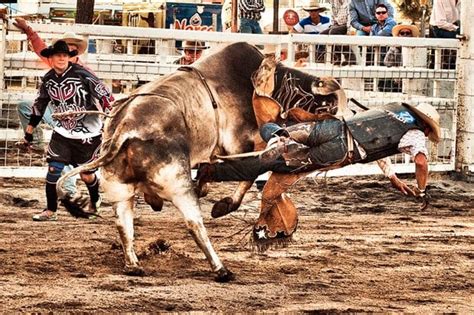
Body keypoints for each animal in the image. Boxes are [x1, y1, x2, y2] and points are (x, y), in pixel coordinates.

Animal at [57, 41, 346, 282]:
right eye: (321, 104)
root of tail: (125, 126)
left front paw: (207, 185)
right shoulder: (240, 144)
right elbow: (249, 175)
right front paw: (222, 205)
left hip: (121, 190)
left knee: (123, 222)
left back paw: (133, 264)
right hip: (178, 185)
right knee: (194, 224)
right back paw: (221, 269)